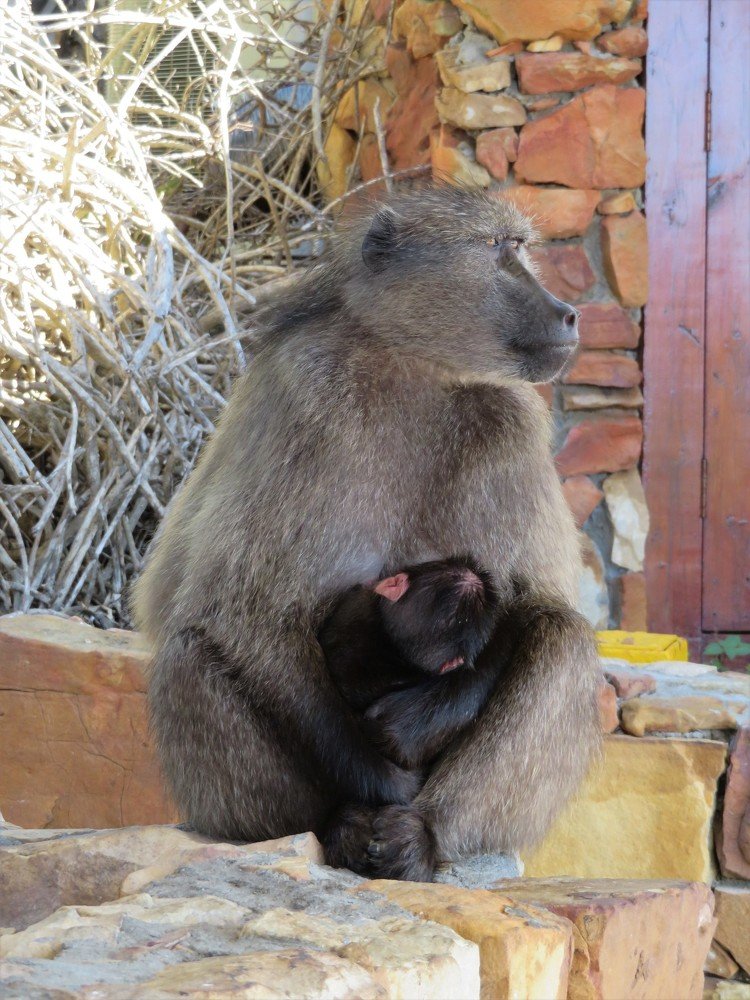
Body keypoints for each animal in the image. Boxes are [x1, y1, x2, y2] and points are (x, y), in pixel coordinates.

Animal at [133, 185, 602, 883]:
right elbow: (249, 613)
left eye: (520, 248)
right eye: (500, 249)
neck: (414, 366)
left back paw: (422, 835)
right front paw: (379, 781)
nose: (569, 314)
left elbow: (532, 608)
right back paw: (340, 825)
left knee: (564, 641)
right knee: (191, 649)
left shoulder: (512, 421)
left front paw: (411, 733)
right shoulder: (310, 391)